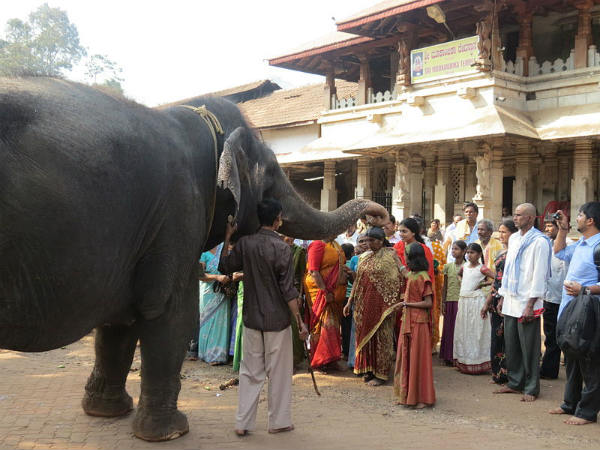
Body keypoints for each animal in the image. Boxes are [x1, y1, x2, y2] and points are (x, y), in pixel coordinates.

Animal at [0, 76, 390, 440]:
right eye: (271, 176)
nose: (379, 216)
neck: (195, 120)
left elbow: (120, 322)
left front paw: (106, 411)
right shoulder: (177, 214)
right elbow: (172, 314)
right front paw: (170, 432)